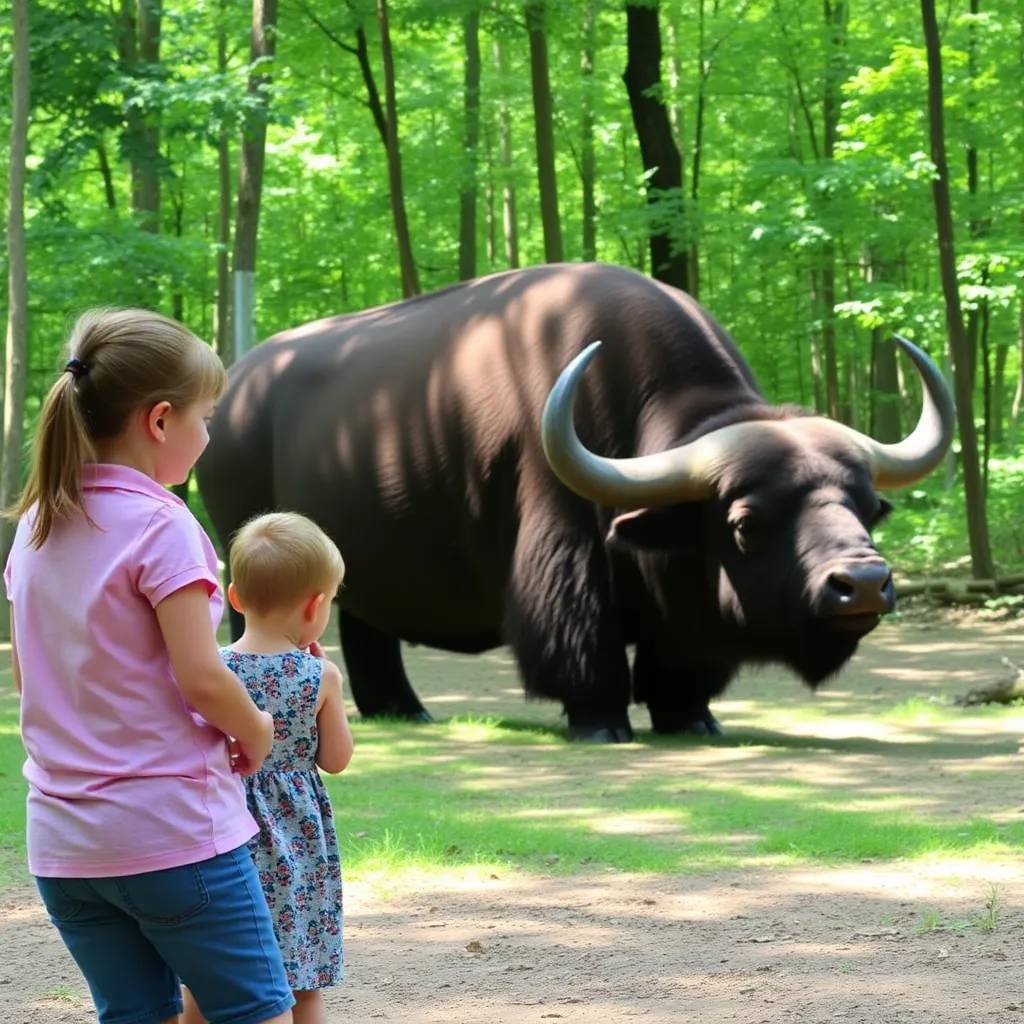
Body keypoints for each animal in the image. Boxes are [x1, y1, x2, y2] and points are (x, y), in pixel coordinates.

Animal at [196, 262, 954, 743]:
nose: (862, 583)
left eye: (868, 506)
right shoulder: (564, 551)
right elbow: (580, 642)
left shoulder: (685, 618)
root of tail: (237, 391)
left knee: (367, 631)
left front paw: (693, 718)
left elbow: (682, 666)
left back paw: (403, 711)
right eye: (747, 520)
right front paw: (602, 724)